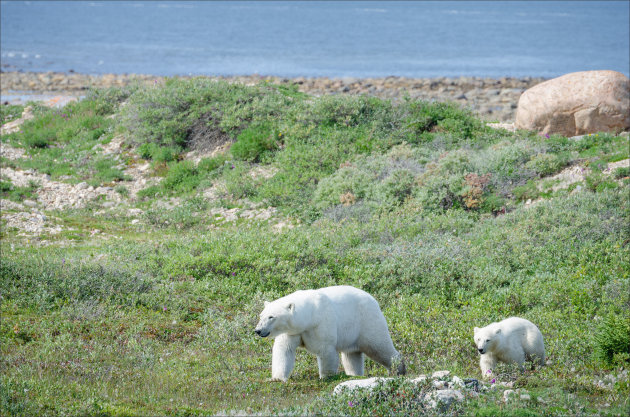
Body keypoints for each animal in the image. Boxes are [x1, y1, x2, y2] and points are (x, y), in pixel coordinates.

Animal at [256, 286, 408, 380]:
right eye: (261, 315)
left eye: (271, 317)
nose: (258, 330)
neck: (310, 315)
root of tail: (374, 300)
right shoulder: (293, 331)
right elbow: (284, 350)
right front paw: (276, 378)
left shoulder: (321, 324)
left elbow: (326, 350)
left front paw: (326, 377)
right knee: (352, 356)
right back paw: (355, 375)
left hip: (367, 321)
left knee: (379, 346)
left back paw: (399, 369)